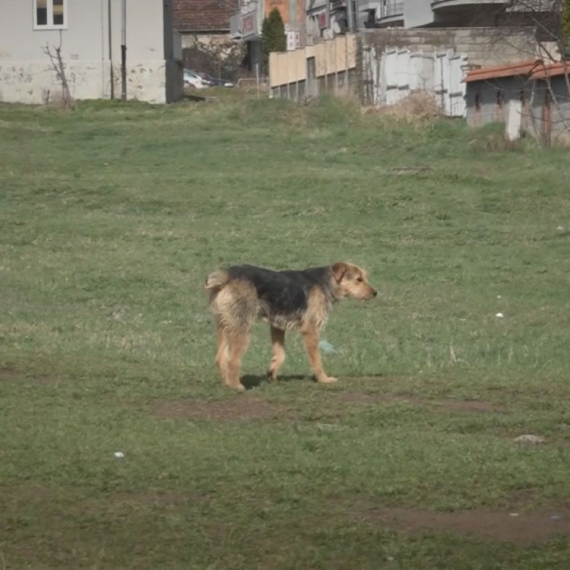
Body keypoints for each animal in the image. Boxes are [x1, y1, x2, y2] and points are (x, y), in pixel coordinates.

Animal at [204, 262, 378, 390]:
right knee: (233, 360)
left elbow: (280, 354)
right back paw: (236, 385)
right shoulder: (311, 330)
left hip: (223, 325)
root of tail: (227, 275)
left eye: (364, 277)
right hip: (243, 329)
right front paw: (323, 379)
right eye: (358, 279)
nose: (375, 293)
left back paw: (227, 383)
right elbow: (317, 360)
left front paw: (272, 373)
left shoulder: (277, 326)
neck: (326, 282)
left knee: (220, 357)